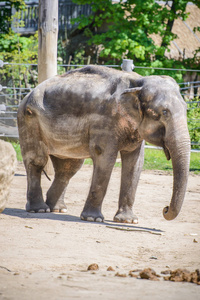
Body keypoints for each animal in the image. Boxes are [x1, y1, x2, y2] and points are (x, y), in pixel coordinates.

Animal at [17, 66, 191, 225]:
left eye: (186, 109)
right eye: (164, 113)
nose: (165, 209)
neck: (138, 82)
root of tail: (27, 95)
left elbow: (135, 163)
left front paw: (128, 221)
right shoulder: (105, 121)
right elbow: (105, 157)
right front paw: (92, 219)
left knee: (69, 167)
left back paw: (57, 209)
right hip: (29, 120)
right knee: (37, 161)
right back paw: (39, 209)